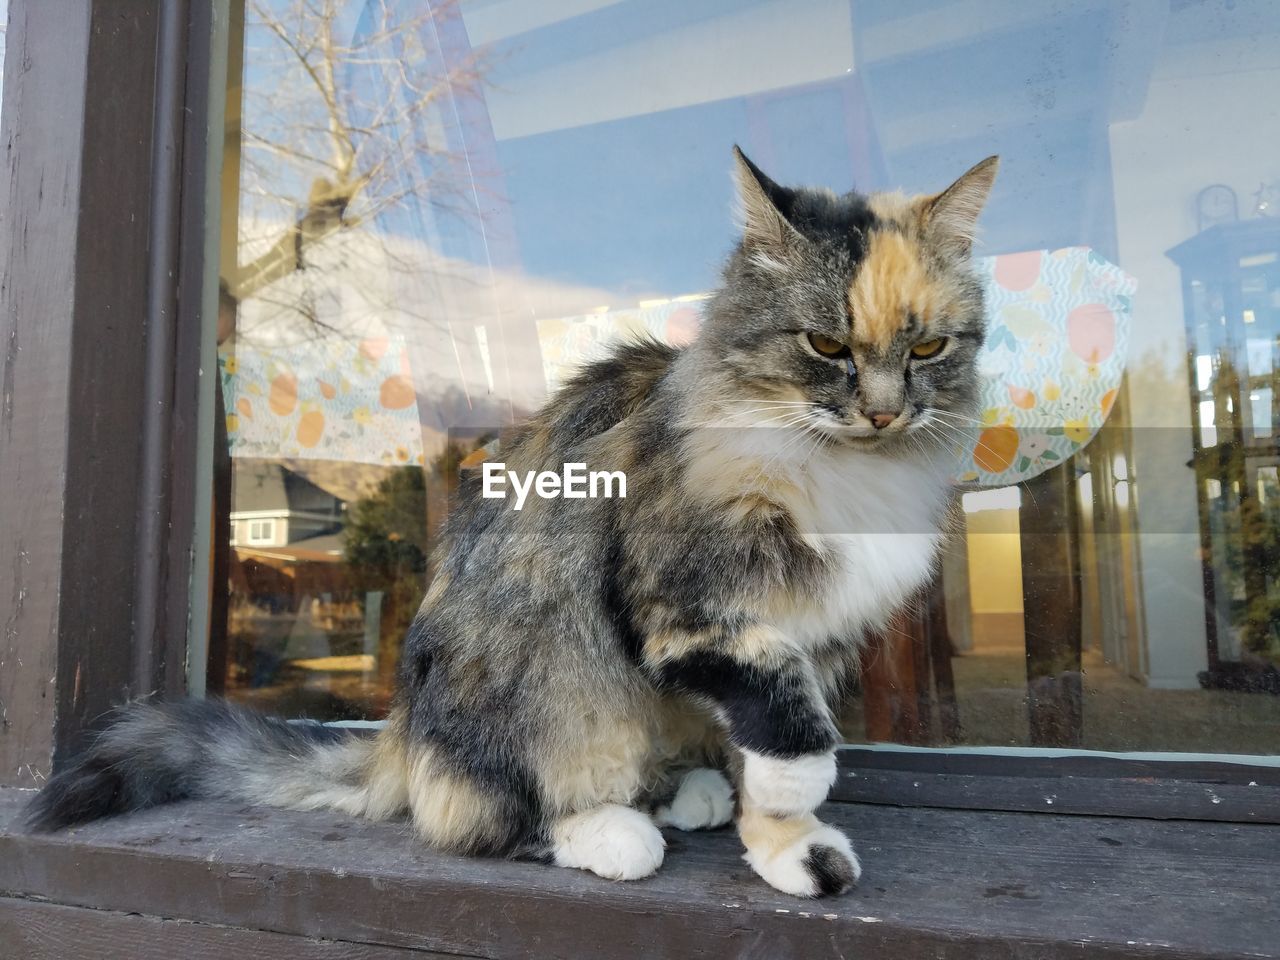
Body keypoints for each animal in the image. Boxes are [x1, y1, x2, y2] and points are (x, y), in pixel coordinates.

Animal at [24, 146, 993, 901]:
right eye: (826, 346)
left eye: (927, 349)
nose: (882, 412)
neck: (847, 468)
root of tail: (399, 731)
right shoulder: (696, 614)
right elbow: (795, 746)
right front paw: (794, 824)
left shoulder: (808, 636)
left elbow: (768, 754)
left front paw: (784, 849)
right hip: (545, 674)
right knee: (468, 819)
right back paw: (611, 832)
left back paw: (687, 796)